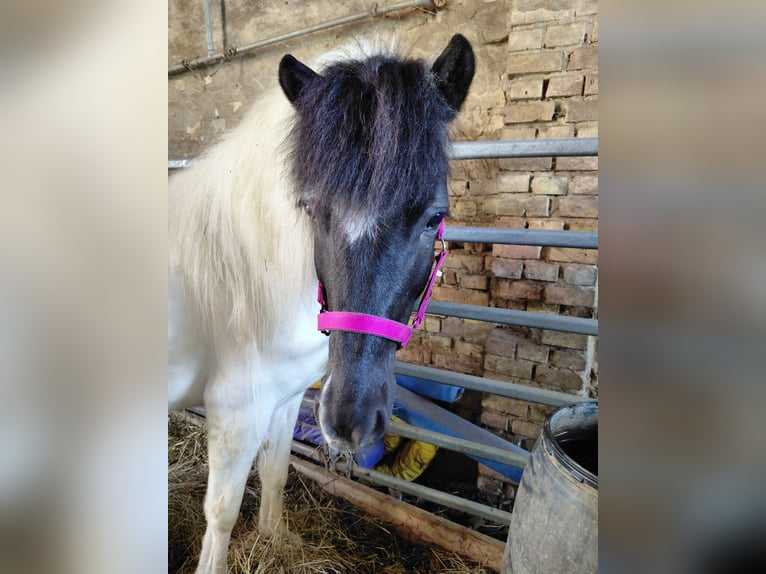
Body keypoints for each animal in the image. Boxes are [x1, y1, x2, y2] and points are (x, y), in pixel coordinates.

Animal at [168, 34, 475, 573]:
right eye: (311, 208)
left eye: (434, 216)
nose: (351, 421)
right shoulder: (236, 411)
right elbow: (222, 511)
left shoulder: (287, 398)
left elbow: (275, 473)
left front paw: (276, 541)